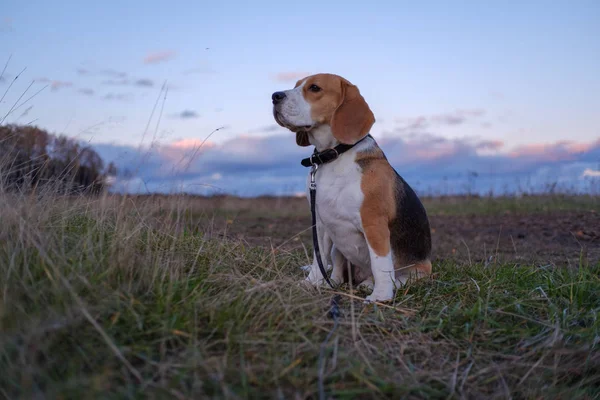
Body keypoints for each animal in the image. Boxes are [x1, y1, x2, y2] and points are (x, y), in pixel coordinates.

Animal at [272, 73, 432, 302]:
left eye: (314, 88)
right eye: (296, 85)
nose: (275, 96)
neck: (333, 157)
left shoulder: (374, 223)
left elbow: (380, 264)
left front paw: (380, 296)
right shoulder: (320, 223)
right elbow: (318, 258)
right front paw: (312, 283)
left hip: (419, 270)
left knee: (396, 277)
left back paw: (373, 285)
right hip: (338, 248)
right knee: (338, 272)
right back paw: (335, 283)